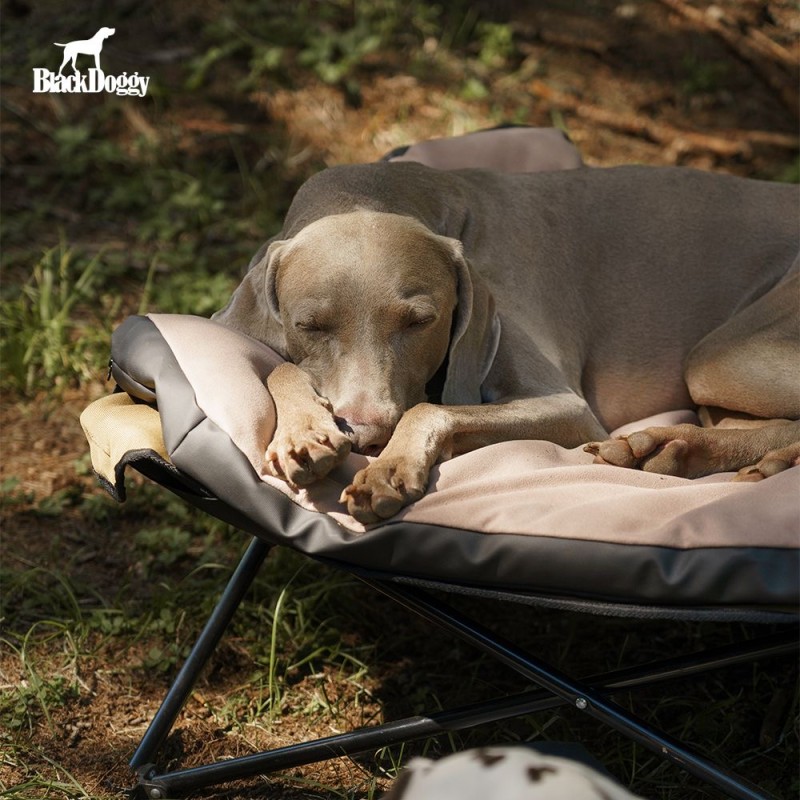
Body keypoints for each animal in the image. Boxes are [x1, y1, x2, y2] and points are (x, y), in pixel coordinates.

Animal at [214, 138, 800, 524]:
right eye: (308, 325)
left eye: (420, 321)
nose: (367, 435)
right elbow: (280, 367)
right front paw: (303, 434)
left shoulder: (569, 407)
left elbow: (433, 407)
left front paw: (390, 468)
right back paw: (681, 450)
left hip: (720, 357)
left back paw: (665, 447)